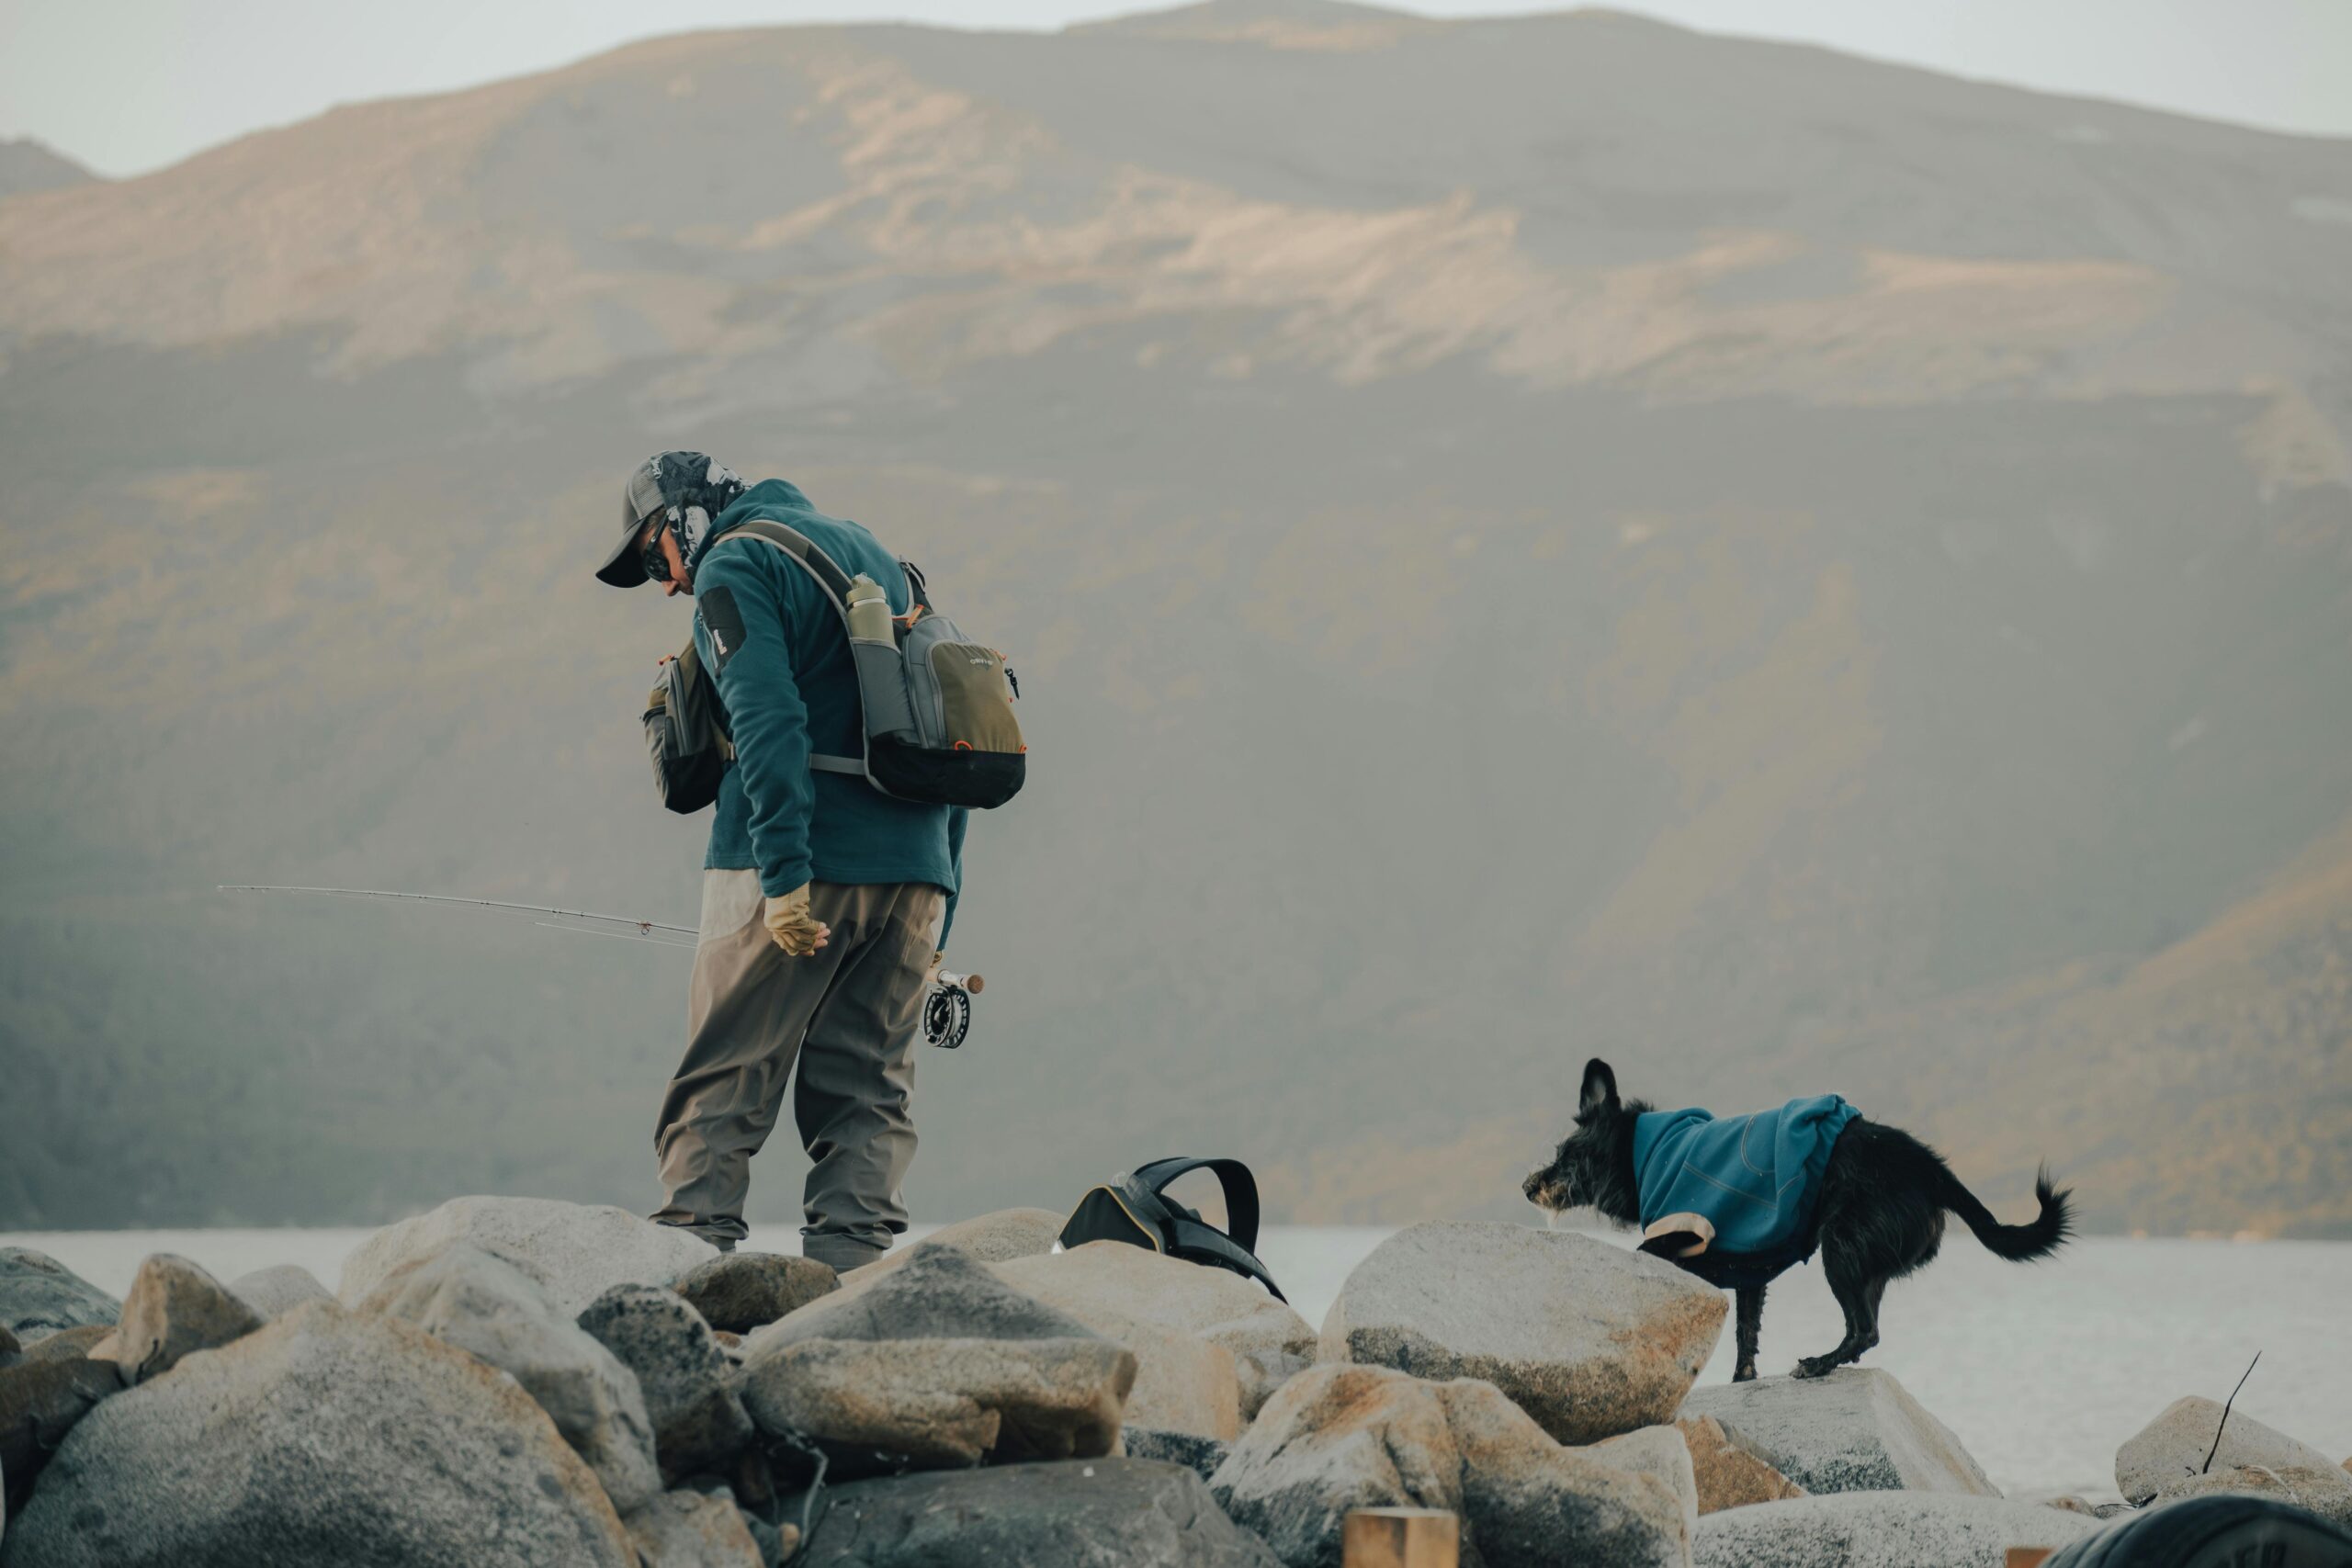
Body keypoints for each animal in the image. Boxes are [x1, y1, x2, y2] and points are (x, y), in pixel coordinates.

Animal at [1514, 1062, 2069, 1382]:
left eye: (1567, 1157)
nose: (1527, 1186)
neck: (1642, 1152)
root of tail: (1931, 1168)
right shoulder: (1748, 1272)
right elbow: (1746, 1335)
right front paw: (1743, 1380)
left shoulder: (1668, 1243)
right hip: (1864, 1260)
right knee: (1868, 1330)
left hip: (1841, 1249)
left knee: (1864, 1330)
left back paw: (1818, 1364)